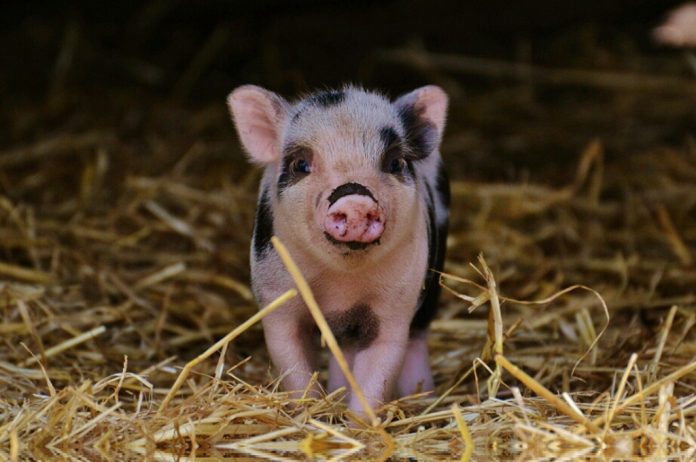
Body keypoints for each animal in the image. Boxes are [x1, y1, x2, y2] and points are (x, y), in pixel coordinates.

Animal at [226, 84, 450, 415]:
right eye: (301, 164)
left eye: (394, 163)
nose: (355, 200)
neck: (341, 286)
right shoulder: (277, 298)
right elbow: (294, 367)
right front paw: (309, 414)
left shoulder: (395, 306)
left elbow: (377, 373)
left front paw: (358, 423)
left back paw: (422, 399)